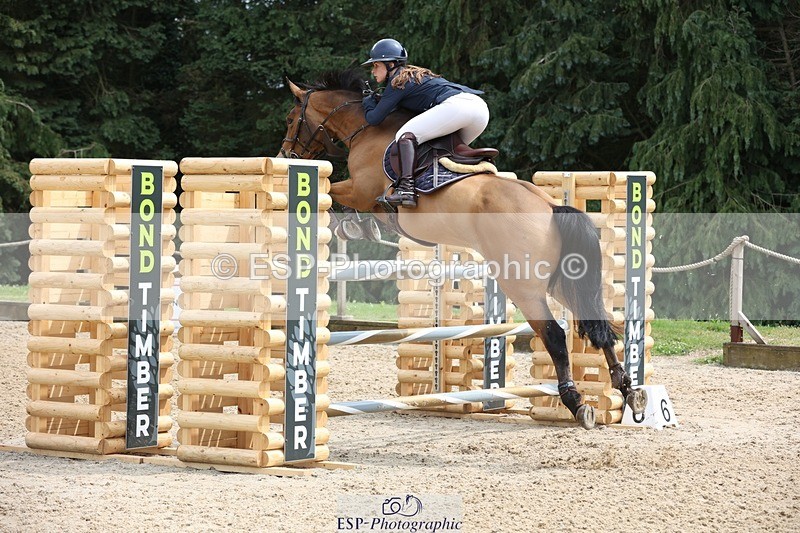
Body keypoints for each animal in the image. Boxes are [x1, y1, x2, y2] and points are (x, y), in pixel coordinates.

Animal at [279, 70, 646, 428]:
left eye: (291, 118)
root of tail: (552, 207)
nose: (285, 157)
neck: (366, 129)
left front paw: (352, 222)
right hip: (560, 280)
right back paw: (627, 389)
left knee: (554, 335)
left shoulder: (361, 190)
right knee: (595, 323)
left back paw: (576, 403)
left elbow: (337, 192)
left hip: (523, 285)